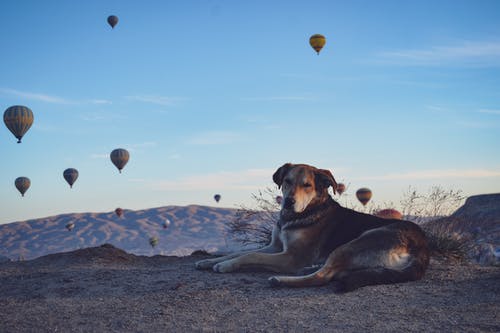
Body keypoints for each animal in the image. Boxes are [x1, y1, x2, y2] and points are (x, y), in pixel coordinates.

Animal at [195, 163, 430, 290]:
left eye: (307, 185)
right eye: (287, 181)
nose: (288, 201)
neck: (299, 214)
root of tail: (422, 248)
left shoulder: (291, 257)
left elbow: (251, 255)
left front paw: (226, 266)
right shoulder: (274, 247)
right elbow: (239, 253)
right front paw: (210, 261)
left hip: (360, 240)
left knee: (323, 277)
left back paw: (281, 280)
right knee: (332, 271)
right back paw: (310, 268)